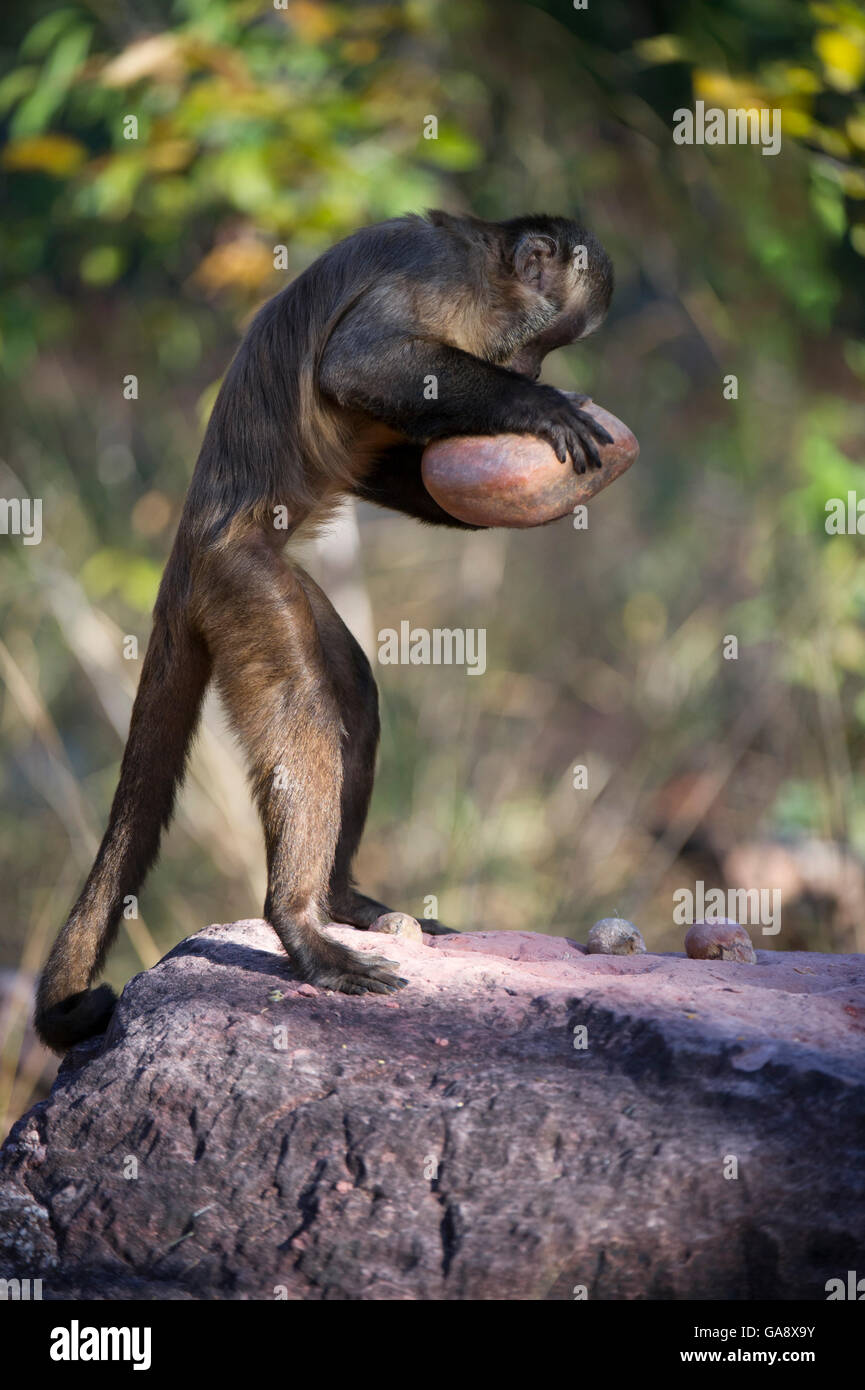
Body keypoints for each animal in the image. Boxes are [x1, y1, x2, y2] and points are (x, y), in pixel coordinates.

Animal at [35, 211, 617, 1045]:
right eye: (537, 348)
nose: (532, 372)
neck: (483, 261)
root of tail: (186, 548)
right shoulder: (439, 274)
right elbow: (359, 365)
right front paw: (539, 410)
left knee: (353, 699)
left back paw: (340, 900)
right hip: (241, 580)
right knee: (302, 706)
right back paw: (300, 925)